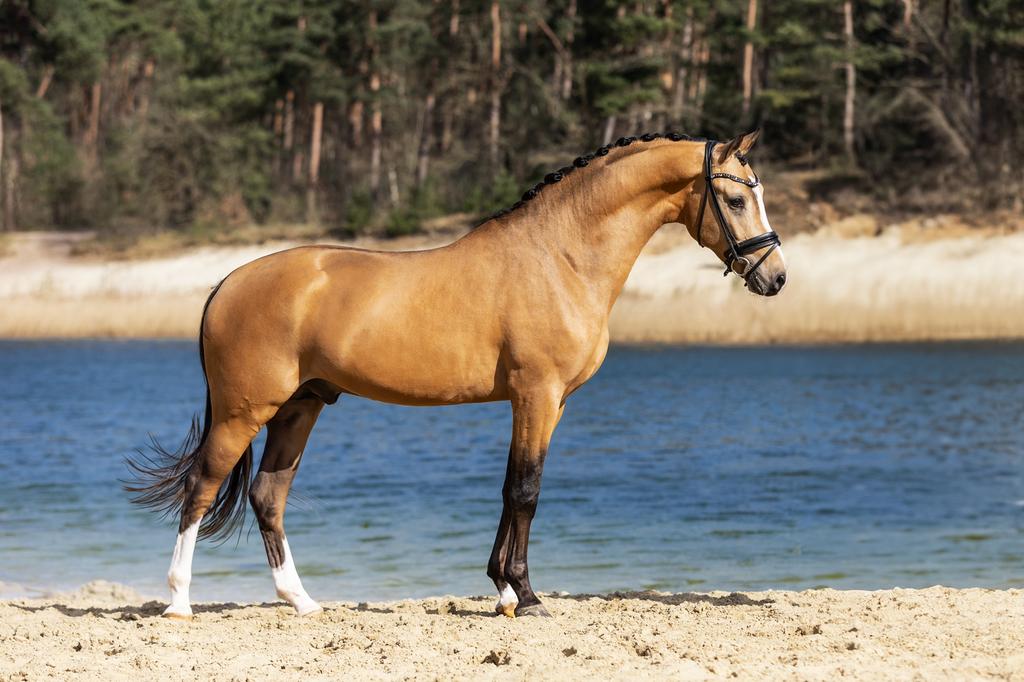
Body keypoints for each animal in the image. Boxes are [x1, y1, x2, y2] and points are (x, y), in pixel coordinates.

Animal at [127, 130, 787, 620]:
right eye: (734, 199)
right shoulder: (536, 394)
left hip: (301, 406)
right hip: (245, 410)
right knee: (202, 487)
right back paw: (179, 603)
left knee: (267, 496)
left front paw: (503, 593)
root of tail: (228, 281)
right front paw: (526, 595)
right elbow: (525, 491)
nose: (775, 277)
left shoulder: (547, 403)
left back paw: (303, 602)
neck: (560, 257)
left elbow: (512, 487)